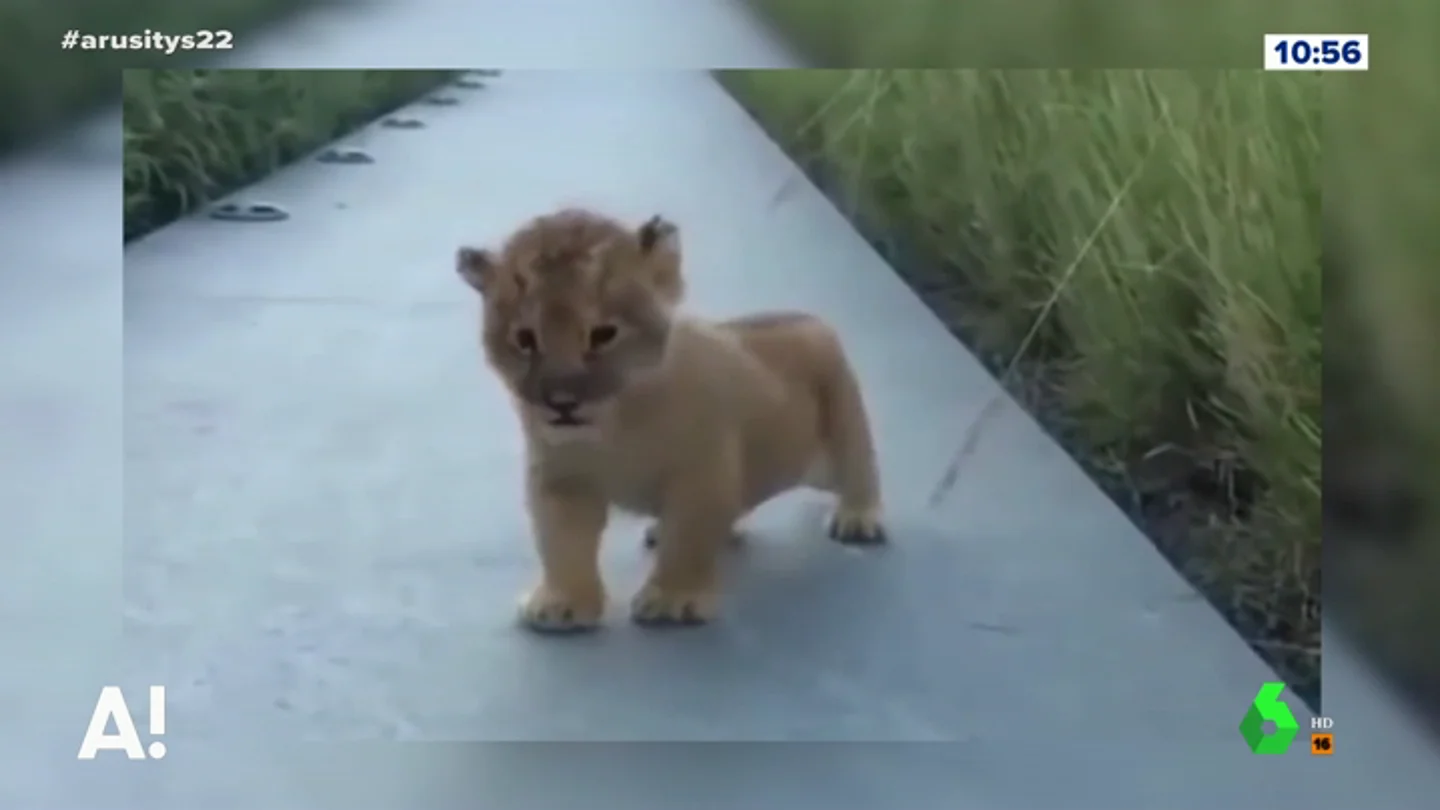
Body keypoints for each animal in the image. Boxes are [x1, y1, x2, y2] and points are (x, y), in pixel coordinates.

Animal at [456, 208, 887, 633]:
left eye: (603, 334)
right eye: (525, 339)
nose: (562, 403)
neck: (615, 427)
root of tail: (807, 316)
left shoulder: (700, 474)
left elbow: (688, 539)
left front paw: (673, 601)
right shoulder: (561, 479)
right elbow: (561, 543)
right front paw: (562, 604)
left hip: (840, 425)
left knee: (860, 469)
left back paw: (858, 519)